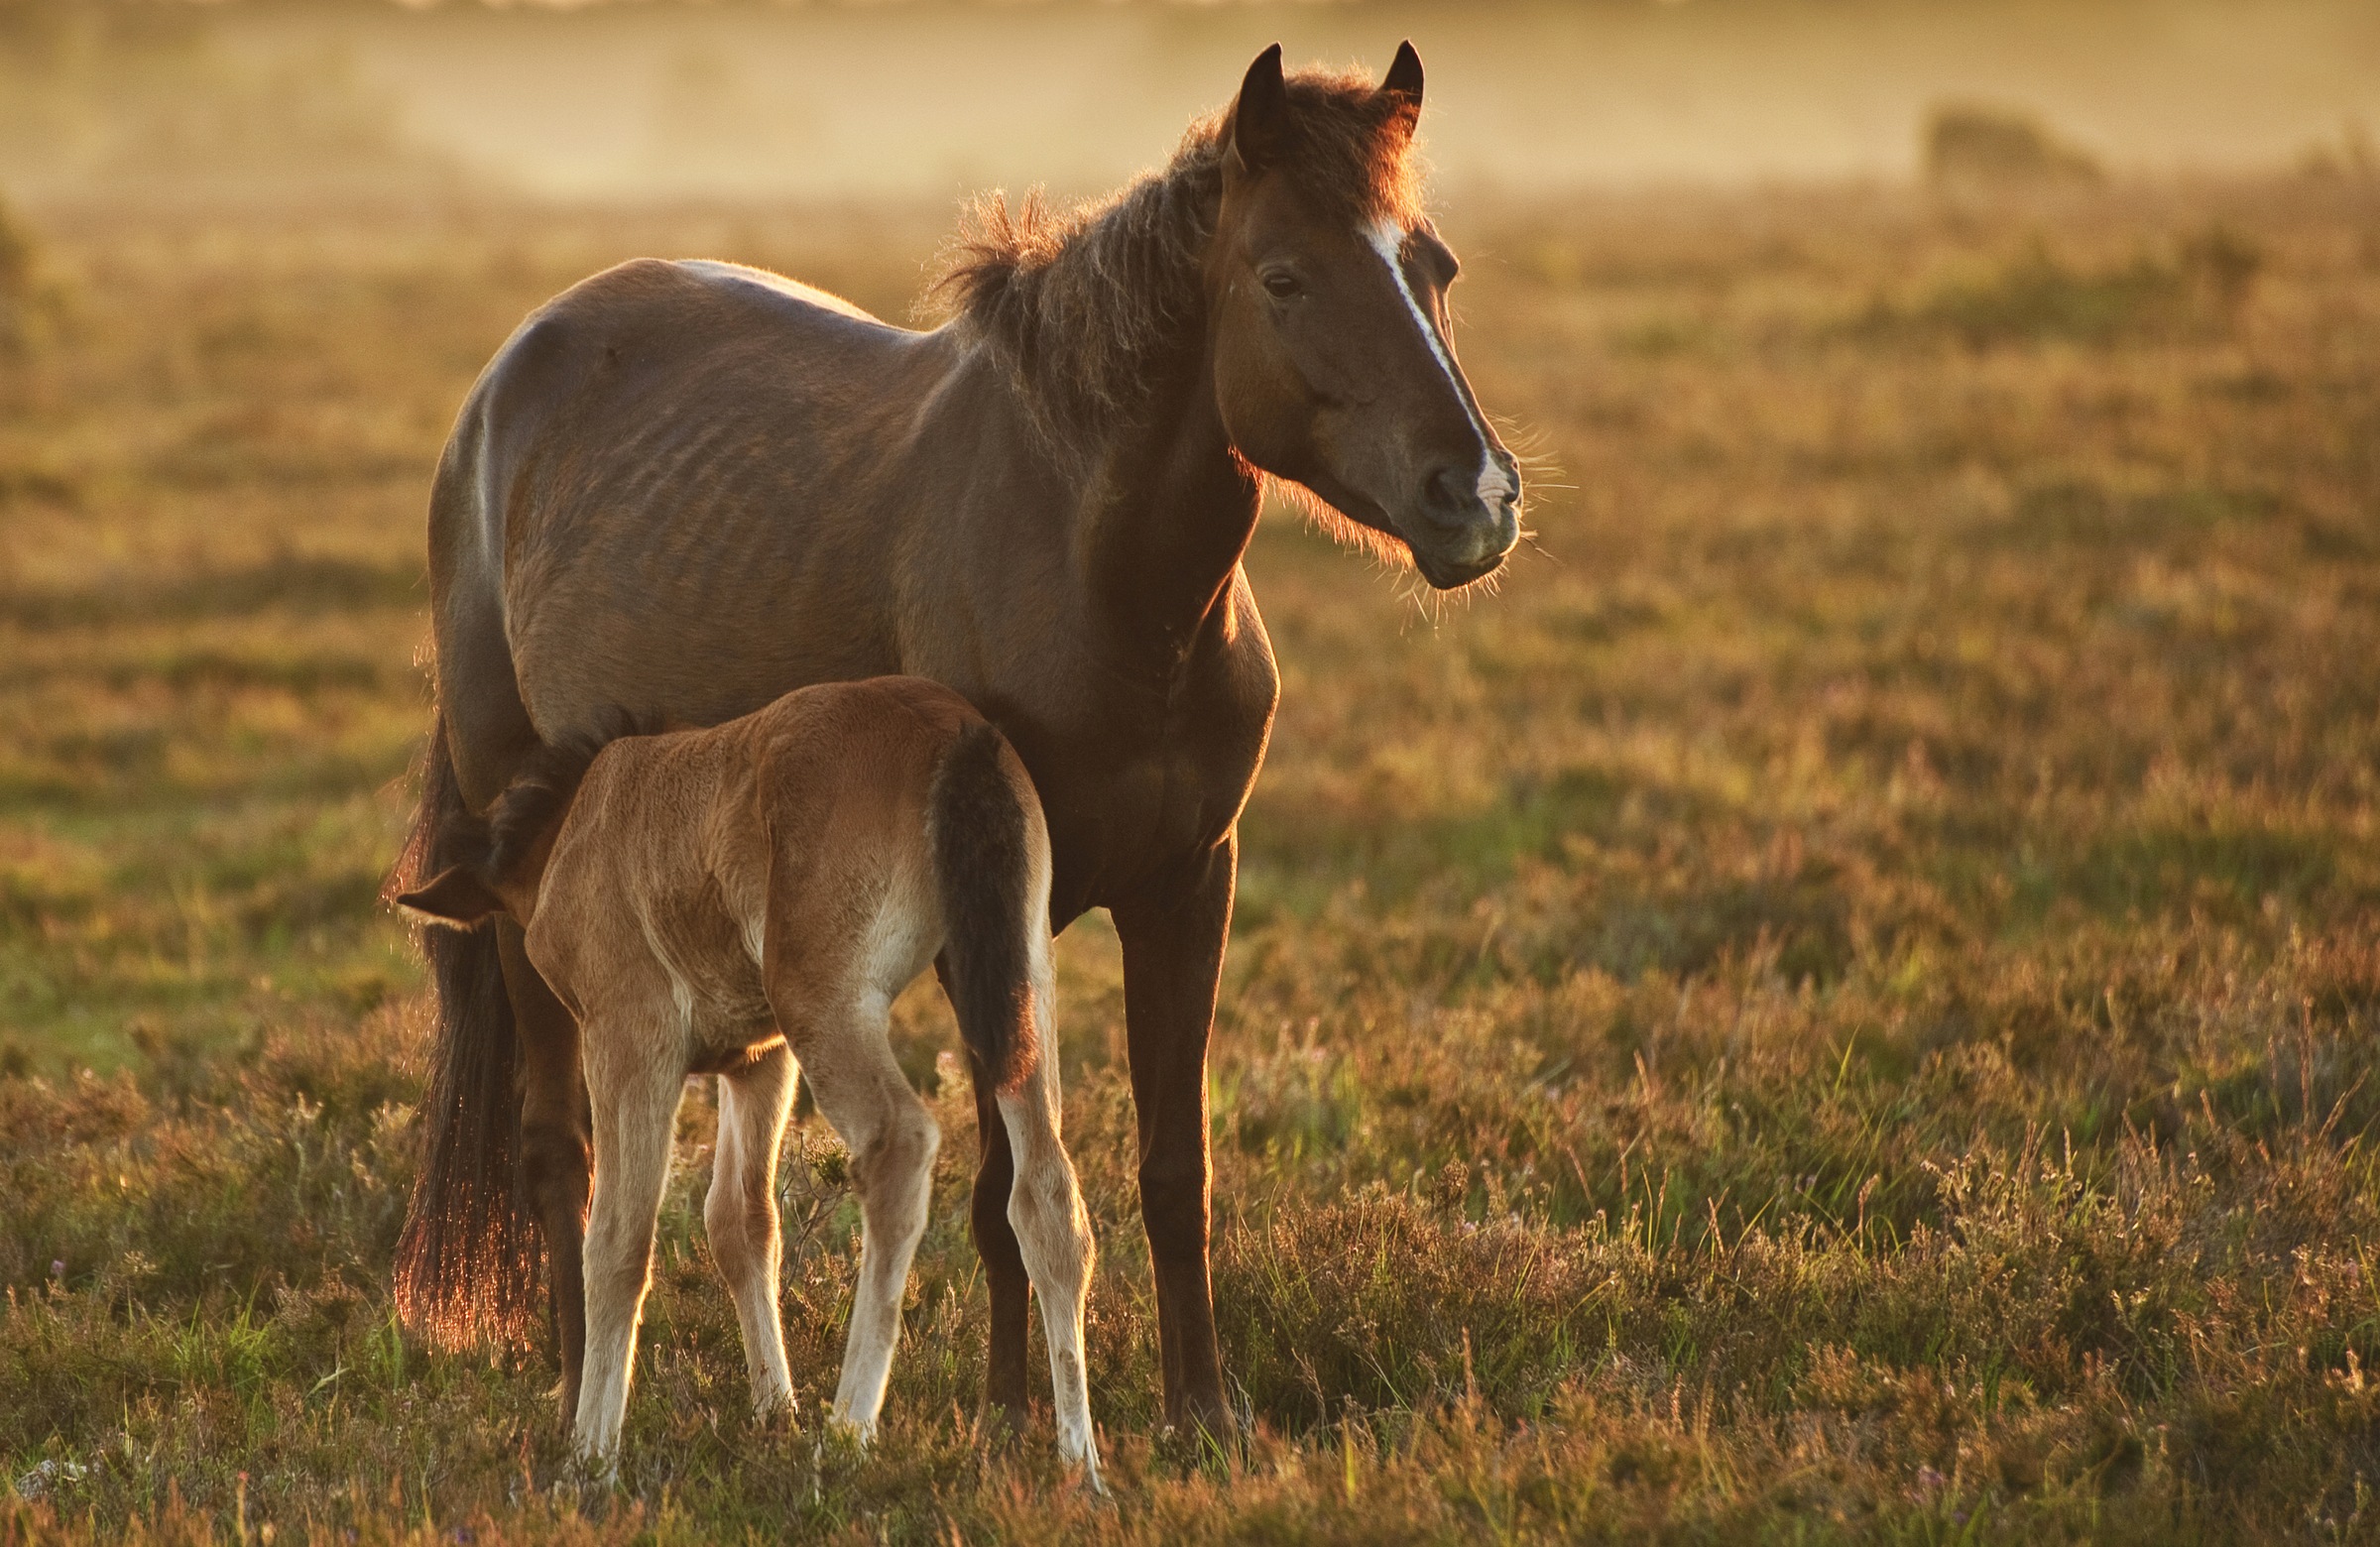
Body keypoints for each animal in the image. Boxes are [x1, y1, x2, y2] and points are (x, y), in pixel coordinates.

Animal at [397, 675, 1095, 1466]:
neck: (581, 820)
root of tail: (954, 730)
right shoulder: (759, 1058)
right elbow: (740, 1221)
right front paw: (774, 1409)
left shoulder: (631, 1039)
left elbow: (617, 1238)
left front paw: (592, 1451)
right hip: (1016, 978)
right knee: (1047, 1190)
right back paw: (1080, 1460)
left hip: (825, 1001)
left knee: (900, 1143)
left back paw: (847, 1429)